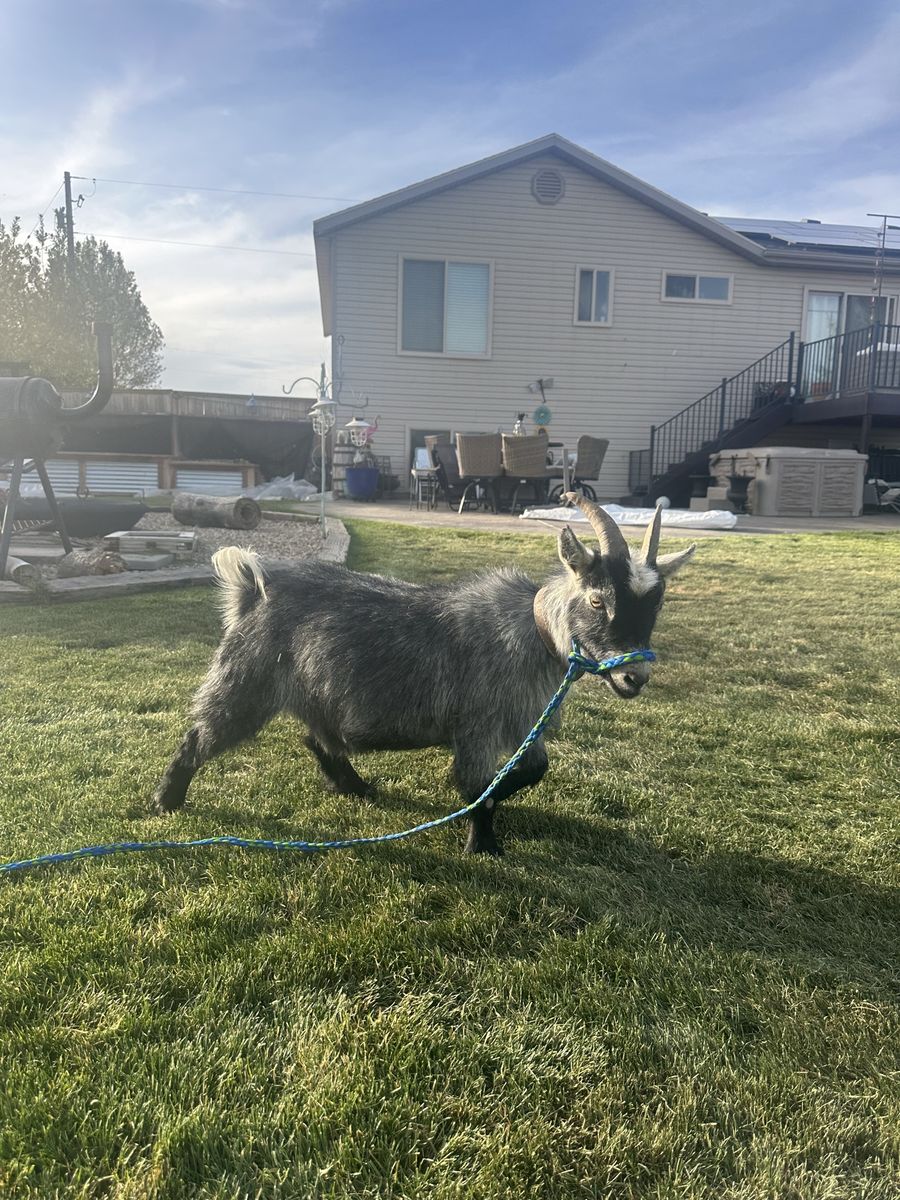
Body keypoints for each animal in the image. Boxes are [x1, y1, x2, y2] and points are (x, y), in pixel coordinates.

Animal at [153, 495, 695, 855]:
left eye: (656, 605)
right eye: (599, 600)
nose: (636, 678)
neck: (533, 633)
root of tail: (252, 589)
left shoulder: (524, 722)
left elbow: (531, 770)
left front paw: (490, 803)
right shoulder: (478, 723)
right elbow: (476, 784)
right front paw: (483, 845)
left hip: (311, 689)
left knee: (317, 737)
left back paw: (355, 786)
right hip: (246, 679)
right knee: (202, 734)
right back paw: (166, 801)